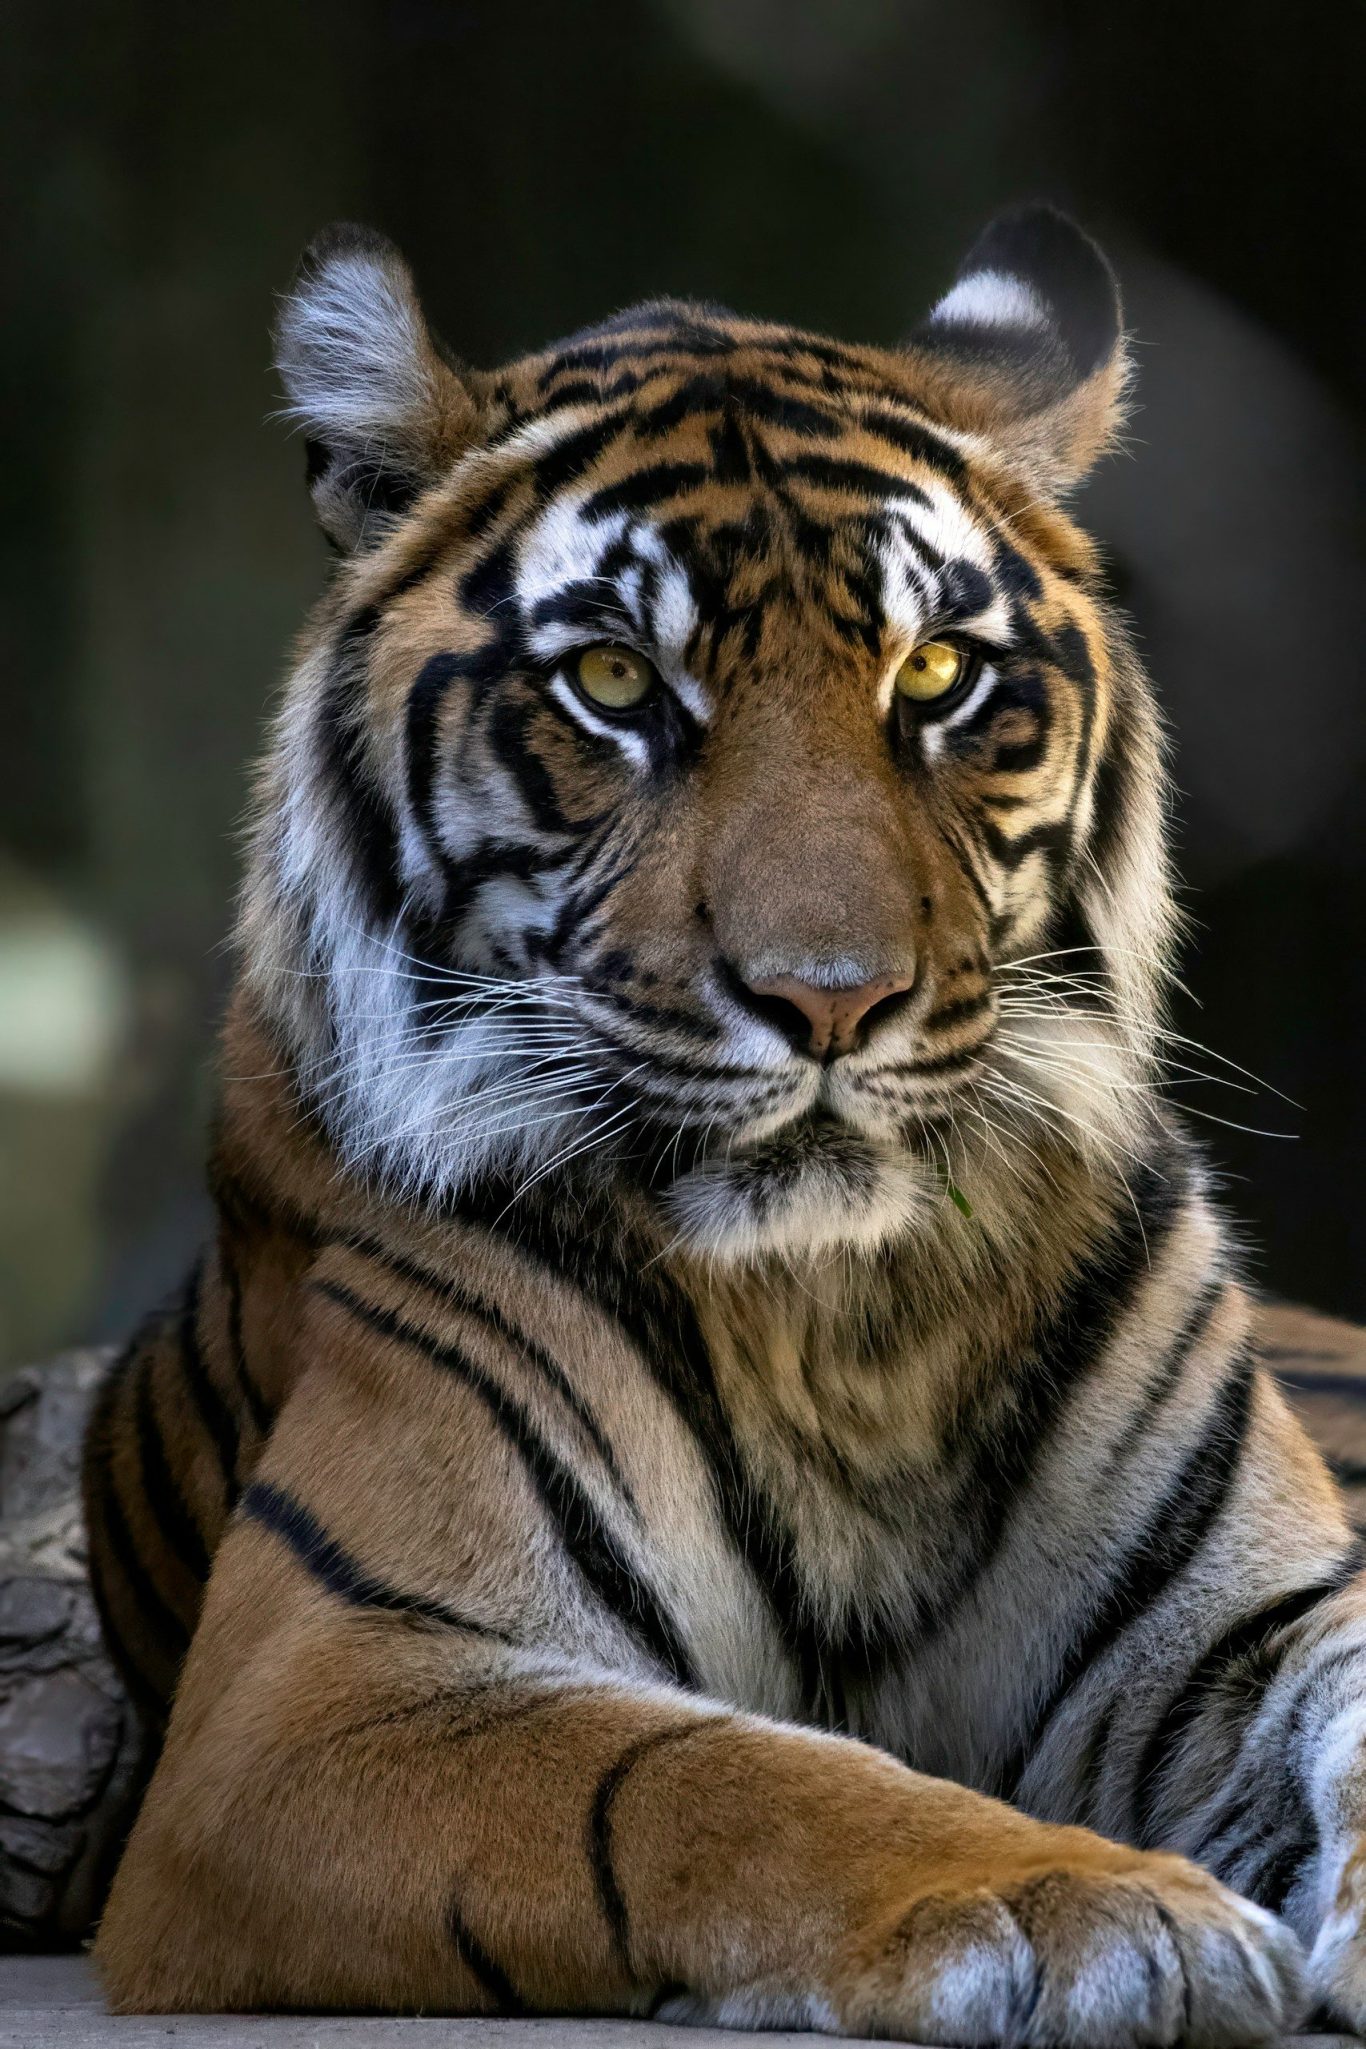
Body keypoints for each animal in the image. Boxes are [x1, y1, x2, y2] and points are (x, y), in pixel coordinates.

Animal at [81, 205, 1366, 2041]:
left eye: (936, 672)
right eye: (615, 681)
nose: (829, 1000)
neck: (850, 1317)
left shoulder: (1247, 1623)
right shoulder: (320, 1687)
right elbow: (717, 1777)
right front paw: (1096, 1905)